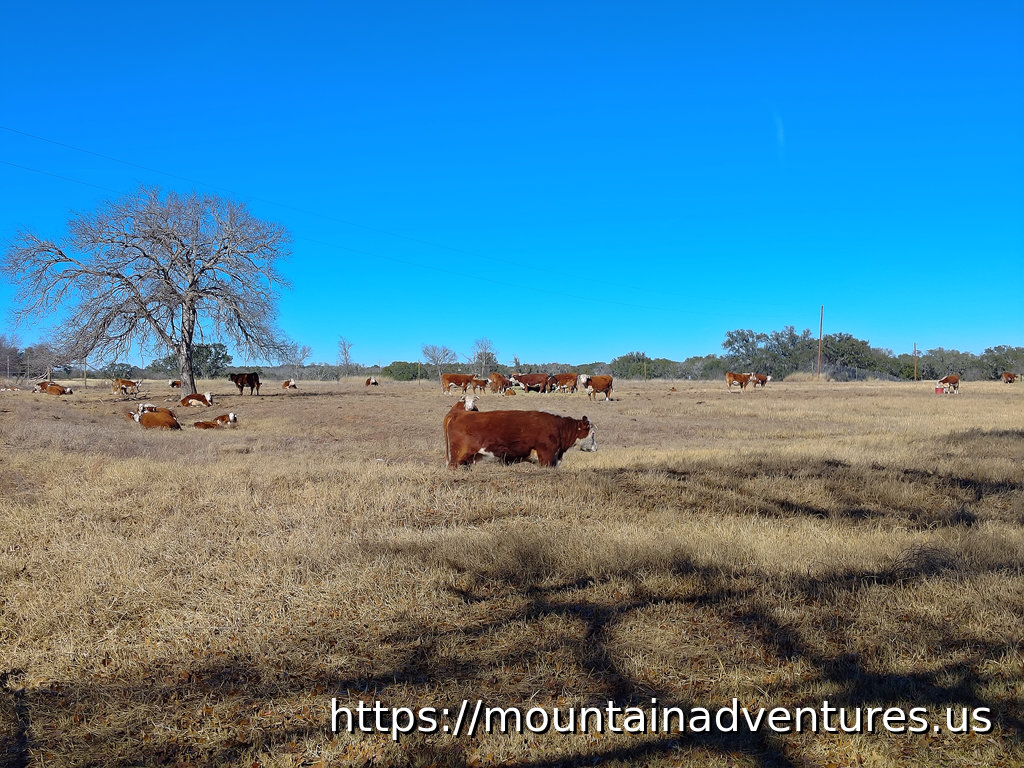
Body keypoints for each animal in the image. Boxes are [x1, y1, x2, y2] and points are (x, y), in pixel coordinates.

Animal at [444, 405, 597, 468]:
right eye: (593, 433)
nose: (596, 448)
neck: (559, 427)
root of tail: (458, 414)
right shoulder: (546, 457)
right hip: (457, 456)